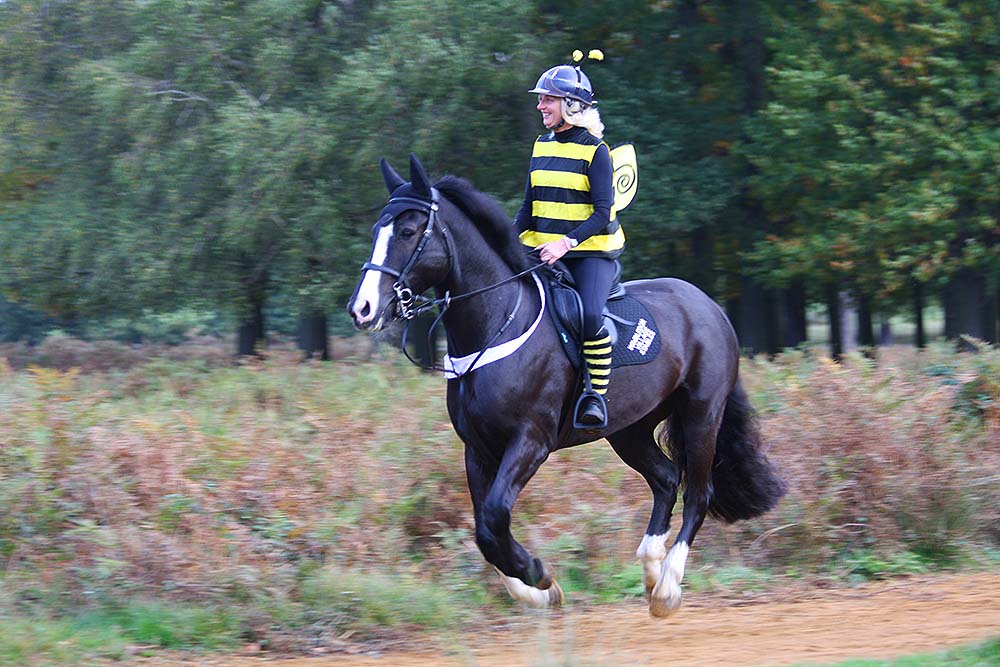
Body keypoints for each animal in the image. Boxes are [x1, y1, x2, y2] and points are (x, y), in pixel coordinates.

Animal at [348, 154, 784, 620]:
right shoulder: (478, 448)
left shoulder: (530, 442)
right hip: (628, 429)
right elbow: (483, 528)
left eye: (408, 232)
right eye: (376, 231)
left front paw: (538, 576)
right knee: (667, 479)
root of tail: (710, 308)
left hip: (701, 415)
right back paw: (650, 567)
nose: (362, 309)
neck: (498, 323)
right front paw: (536, 592)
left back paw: (667, 588)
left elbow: (494, 517)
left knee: (698, 493)